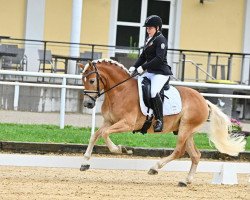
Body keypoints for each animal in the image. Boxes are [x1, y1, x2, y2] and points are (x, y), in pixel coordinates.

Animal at [78, 58, 246, 187]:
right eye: (82, 81)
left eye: (92, 80)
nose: (88, 104)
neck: (120, 91)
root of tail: (204, 100)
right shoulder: (109, 121)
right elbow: (95, 135)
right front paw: (85, 162)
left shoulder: (127, 123)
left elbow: (105, 134)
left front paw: (120, 149)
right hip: (187, 131)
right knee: (195, 155)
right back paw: (185, 181)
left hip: (185, 128)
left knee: (179, 151)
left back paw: (155, 168)